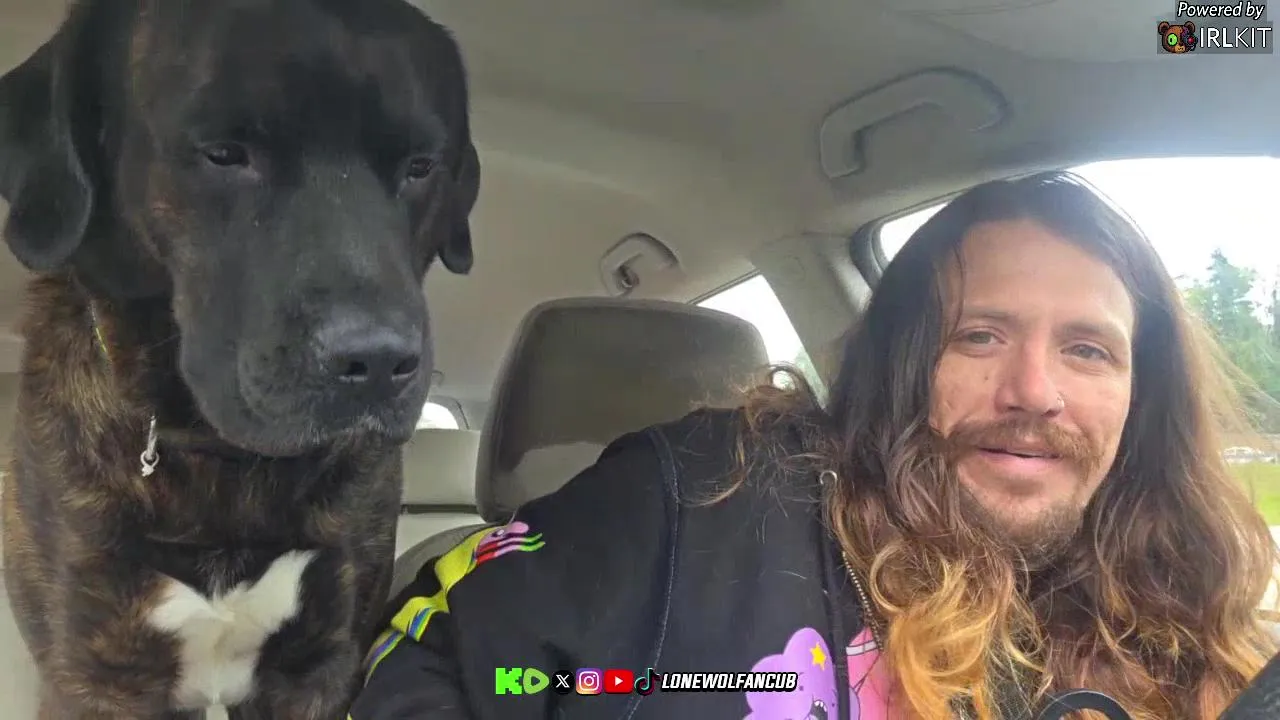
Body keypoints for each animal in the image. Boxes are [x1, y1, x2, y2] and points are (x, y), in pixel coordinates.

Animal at [0, 0, 479, 716]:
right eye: (224, 154)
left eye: (422, 165)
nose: (377, 360)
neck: (219, 462)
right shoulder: (95, 674)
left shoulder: (322, 661)